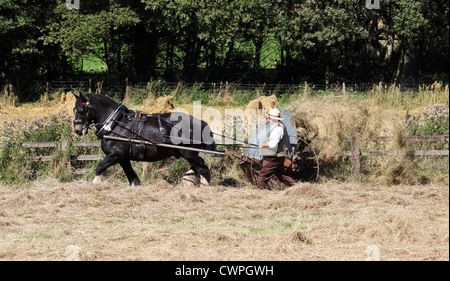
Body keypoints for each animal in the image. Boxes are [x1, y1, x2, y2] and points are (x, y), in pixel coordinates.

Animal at [72, 94, 216, 185]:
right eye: (74, 109)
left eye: (81, 109)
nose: (77, 129)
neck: (114, 123)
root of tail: (200, 122)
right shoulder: (123, 157)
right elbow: (131, 176)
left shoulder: (115, 154)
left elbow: (100, 167)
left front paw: (95, 183)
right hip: (189, 154)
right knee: (198, 167)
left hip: (188, 153)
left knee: (203, 168)